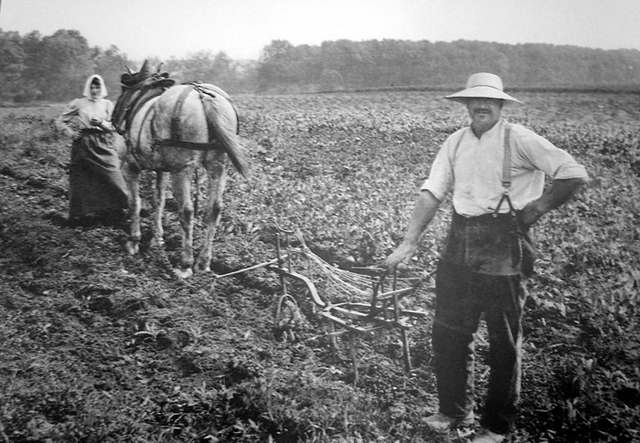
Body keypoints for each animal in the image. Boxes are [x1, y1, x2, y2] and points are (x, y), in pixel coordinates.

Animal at [111, 60, 249, 280]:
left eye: (124, 87)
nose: (114, 118)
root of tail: (202, 95)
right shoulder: (163, 169)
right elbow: (158, 201)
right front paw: (156, 240)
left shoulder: (130, 166)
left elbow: (135, 202)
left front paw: (133, 242)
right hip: (218, 164)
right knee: (214, 209)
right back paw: (203, 263)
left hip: (183, 169)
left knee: (186, 211)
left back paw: (185, 264)